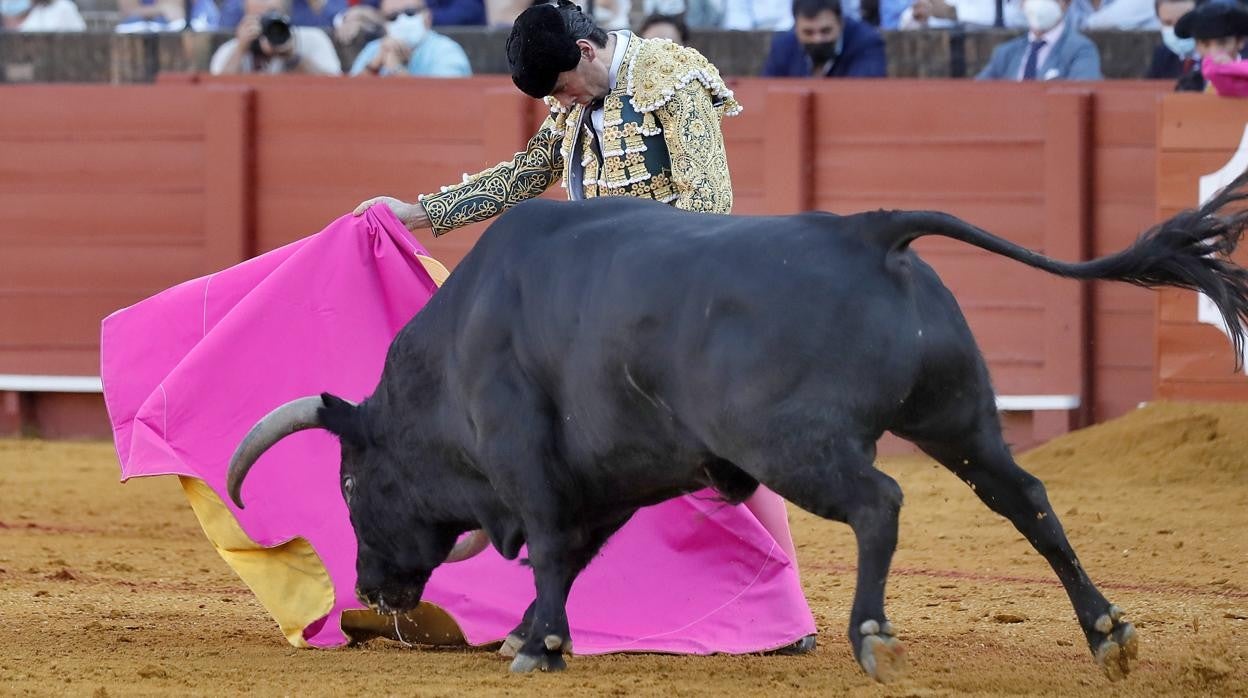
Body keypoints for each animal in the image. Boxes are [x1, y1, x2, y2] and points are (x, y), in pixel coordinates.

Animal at [224, 177, 1248, 684]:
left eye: (350, 482)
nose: (367, 585)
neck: (450, 359)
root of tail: (866, 233)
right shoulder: (609, 479)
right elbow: (576, 557)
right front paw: (529, 635)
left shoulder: (528, 461)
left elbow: (550, 552)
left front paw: (536, 645)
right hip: (961, 418)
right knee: (1026, 497)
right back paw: (1109, 634)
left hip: (797, 444)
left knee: (880, 503)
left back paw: (872, 636)